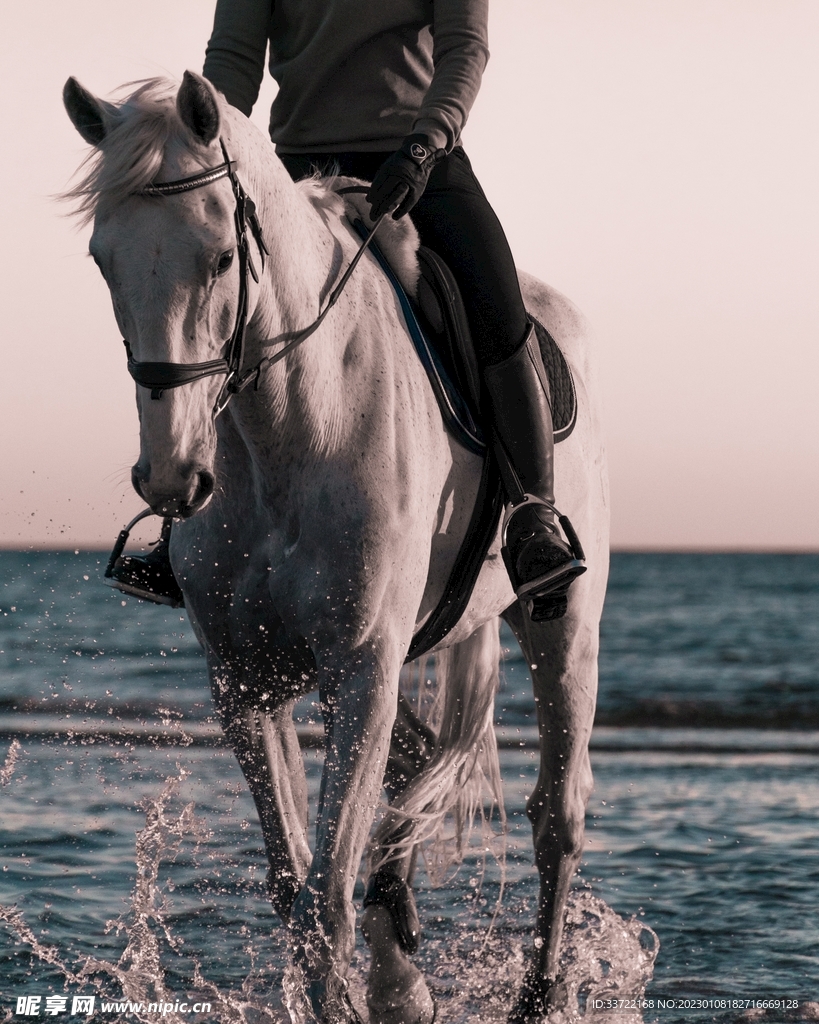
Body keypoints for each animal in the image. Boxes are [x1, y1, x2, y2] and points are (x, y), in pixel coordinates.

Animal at [63, 71, 609, 1024]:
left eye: (220, 257)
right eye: (104, 262)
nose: (171, 478)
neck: (291, 425)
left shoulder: (358, 668)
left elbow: (324, 894)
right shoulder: (246, 684)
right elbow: (294, 887)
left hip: (562, 625)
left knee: (556, 816)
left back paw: (534, 996)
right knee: (419, 772)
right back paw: (402, 978)